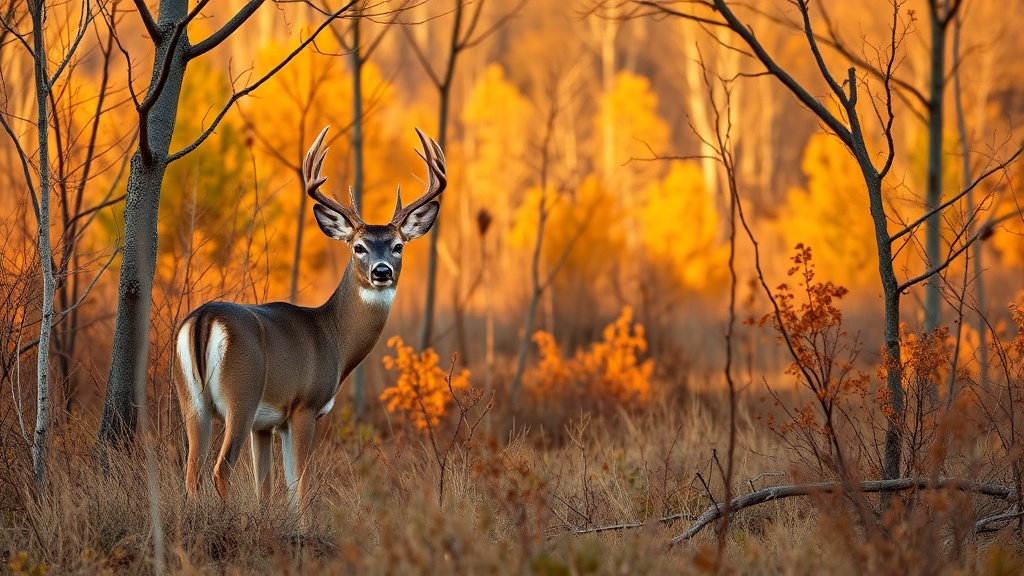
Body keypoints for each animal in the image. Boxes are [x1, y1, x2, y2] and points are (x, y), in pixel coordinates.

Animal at [172, 126, 446, 505]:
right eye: (359, 247)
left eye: (398, 246)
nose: (381, 271)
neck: (332, 337)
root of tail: (203, 320)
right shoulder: (303, 406)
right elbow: (297, 486)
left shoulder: (266, 423)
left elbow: (264, 487)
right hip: (241, 394)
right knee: (220, 469)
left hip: (191, 399)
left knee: (191, 472)